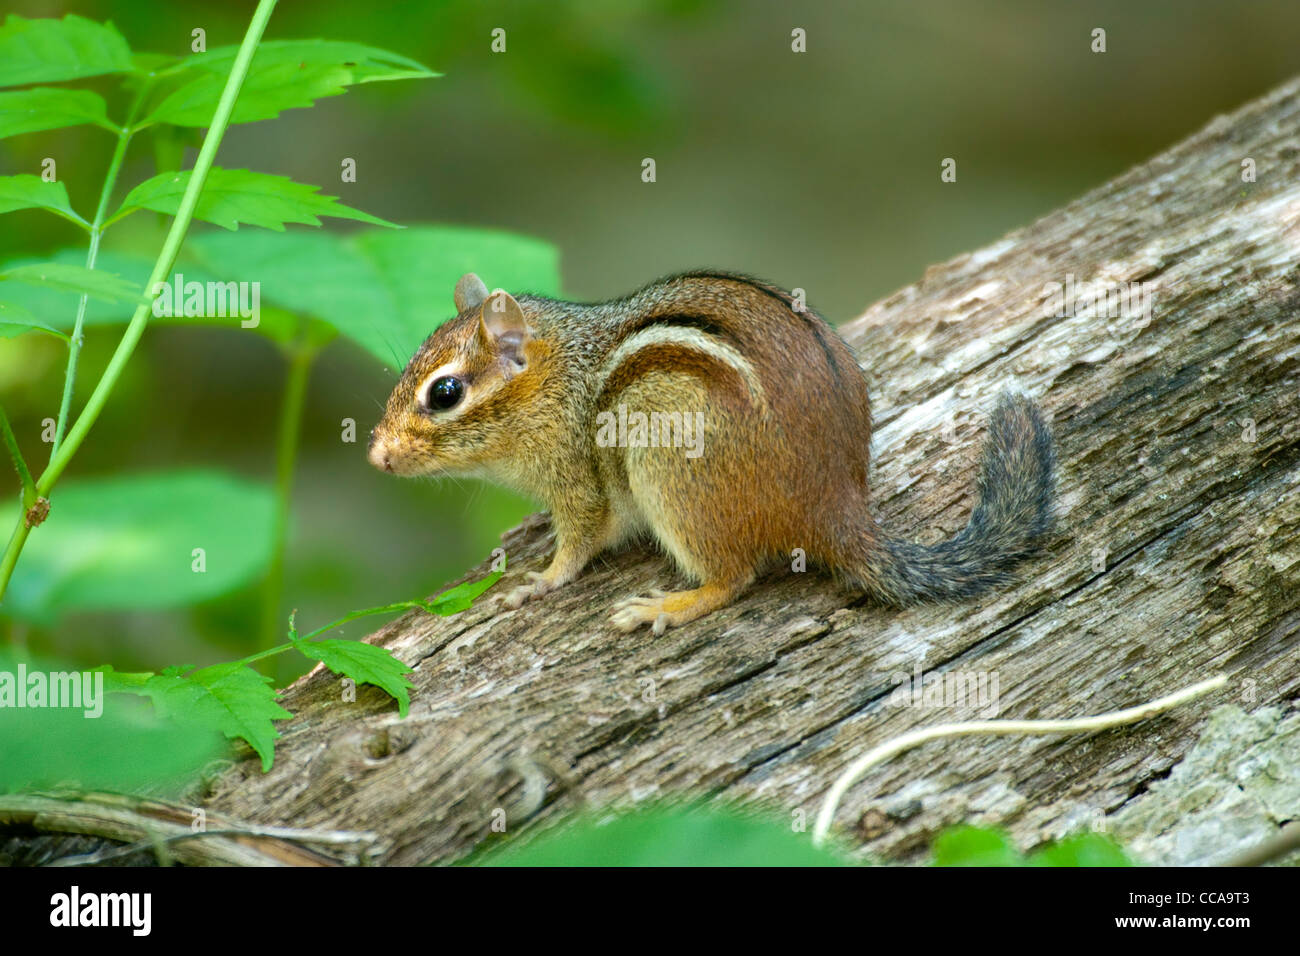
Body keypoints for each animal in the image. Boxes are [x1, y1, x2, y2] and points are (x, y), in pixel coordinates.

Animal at [368, 270, 1055, 635]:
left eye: (445, 392)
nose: (376, 456)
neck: (560, 378)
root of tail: (836, 504)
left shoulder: (578, 482)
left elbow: (577, 544)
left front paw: (537, 582)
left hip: (669, 470)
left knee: (733, 578)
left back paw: (667, 606)